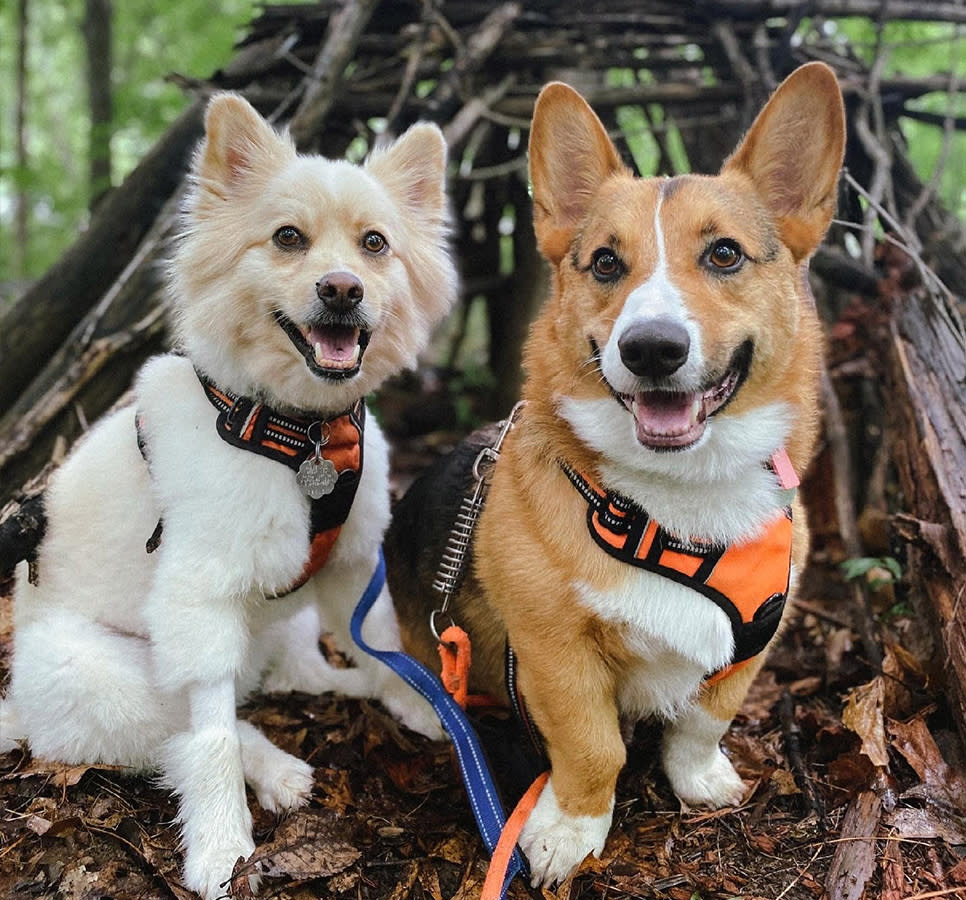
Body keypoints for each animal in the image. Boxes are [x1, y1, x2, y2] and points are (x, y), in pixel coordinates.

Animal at [0, 95, 458, 896]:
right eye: (287, 238)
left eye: (375, 244)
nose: (342, 288)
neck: (297, 433)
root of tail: (17, 709)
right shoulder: (200, 600)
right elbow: (211, 735)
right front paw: (220, 846)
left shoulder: (351, 564)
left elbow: (377, 642)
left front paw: (411, 699)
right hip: (106, 678)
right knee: (194, 730)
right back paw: (274, 772)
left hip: (278, 627)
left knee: (303, 674)